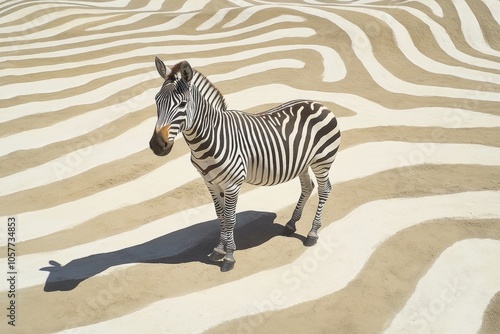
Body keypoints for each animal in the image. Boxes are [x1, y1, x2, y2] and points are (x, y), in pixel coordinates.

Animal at [150, 58, 342, 272]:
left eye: (183, 104)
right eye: (156, 100)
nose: (157, 145)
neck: (212, 137)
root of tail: (318, 104)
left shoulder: (232, 184)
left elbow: (230, 218)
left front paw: (229, 256)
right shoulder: (211, 183)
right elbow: (220, 215)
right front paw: (219, 249)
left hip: (322, 161)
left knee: (325, 189)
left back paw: (312, 233)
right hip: (302, 162)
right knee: (308, 187)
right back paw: (291, 224)